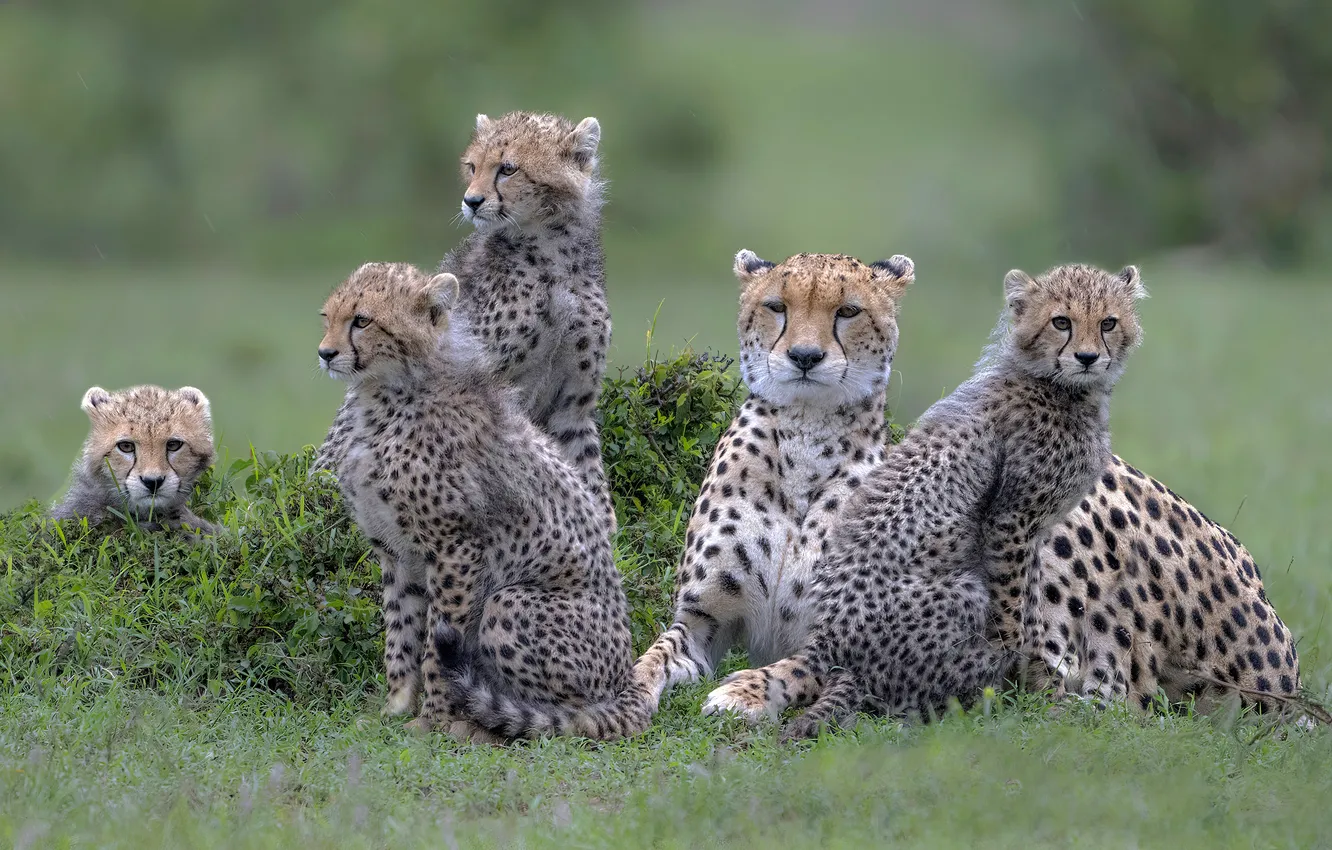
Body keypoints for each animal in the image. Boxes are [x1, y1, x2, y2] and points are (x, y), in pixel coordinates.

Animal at [316, 111, 615, 536]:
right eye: (472, 167)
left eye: (508, 168)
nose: (471, 201)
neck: (552, 253)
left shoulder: (574, 403)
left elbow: (587, 472)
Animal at [318, 261, 650, 742]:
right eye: (328, 317)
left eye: (362, 321)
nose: (324, 353)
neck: (385, 397)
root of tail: (630, 683)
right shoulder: (396, 553)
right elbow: (399, 634)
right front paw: (394, 709)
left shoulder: (456, 549)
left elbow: (435, 648)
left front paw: (434, 722)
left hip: (509, 604)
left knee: (576, 717)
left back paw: (491, 722)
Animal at [632, 249, 916, 715]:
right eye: (777, 306)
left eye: (848, 312)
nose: (805, 356)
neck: (807, 432)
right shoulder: (702, 620)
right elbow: (654, 654)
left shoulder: (843, 642)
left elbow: (790, 671)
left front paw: (742, 692)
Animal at [701, 262, 1148, 740]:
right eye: (1061, 322)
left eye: (1108, 323)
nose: (1087, 358)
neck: (1058, 386)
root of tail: (828, 641)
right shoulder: (1012, 521)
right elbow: (1015, 611)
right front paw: (1028, 679)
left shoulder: (1035, 530)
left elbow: (1030, 605)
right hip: (963, 589)